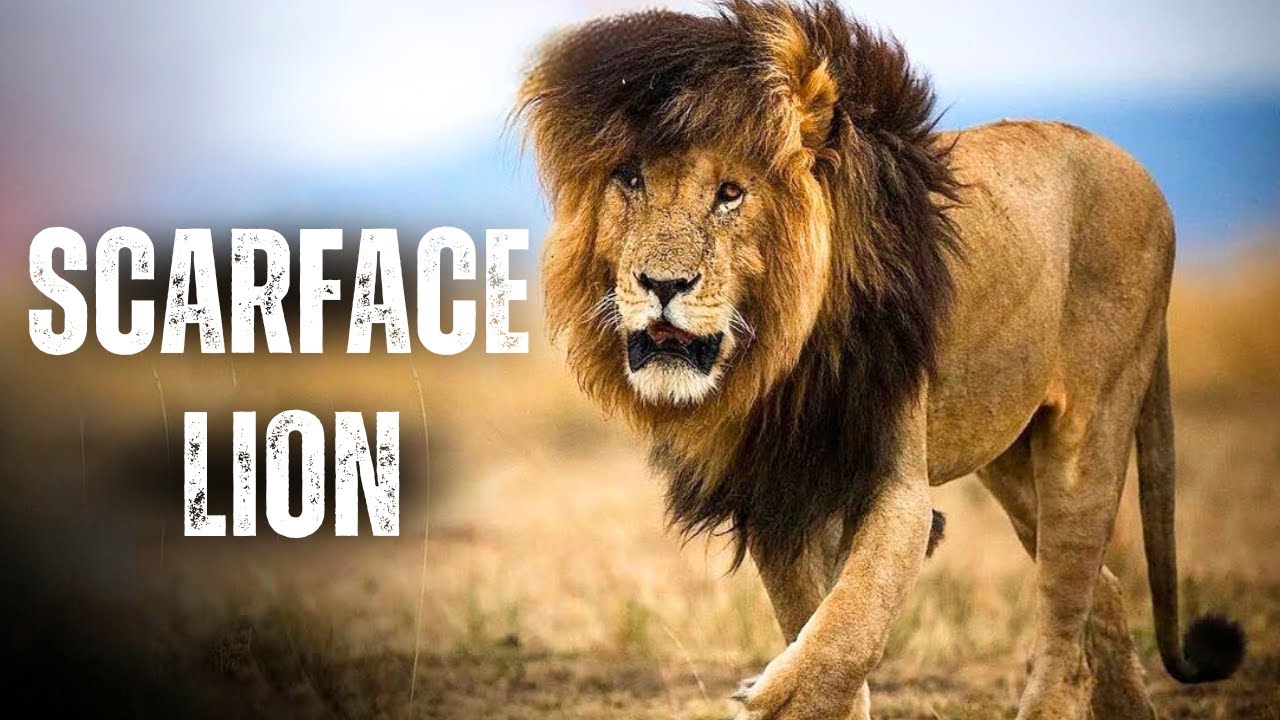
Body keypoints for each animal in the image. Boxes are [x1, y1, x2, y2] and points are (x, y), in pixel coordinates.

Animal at [515, 1, 1246, 718]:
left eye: (730, 192)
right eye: (630, 179)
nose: (662, 284)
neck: (782, 360)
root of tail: (1141, 174)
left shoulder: (894, 484)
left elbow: (845, 631)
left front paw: (775, 692)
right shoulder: (776, 493)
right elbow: (816, 624)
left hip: (1088, 431)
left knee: (1066, 622)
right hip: (1010, 457)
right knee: (1105, 591)